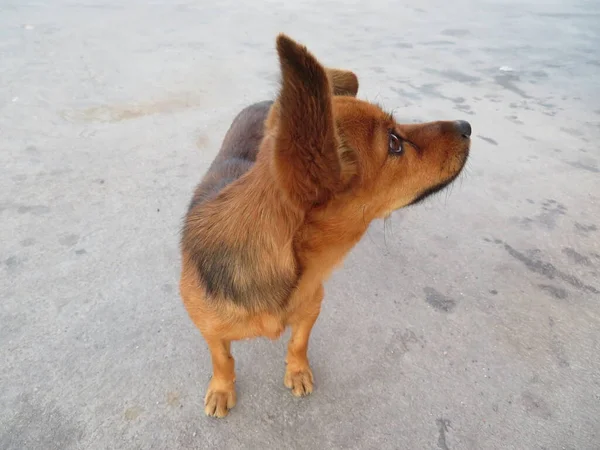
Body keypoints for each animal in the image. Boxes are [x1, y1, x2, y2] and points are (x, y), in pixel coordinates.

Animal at [180, 33, 472, 416]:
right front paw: (221, 388)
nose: (467, 127)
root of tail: (268, 100)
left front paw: (297, 371)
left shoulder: (312, 305)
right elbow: (222, 359)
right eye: (394, 143)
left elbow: (298, 343)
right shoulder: (210, 330)